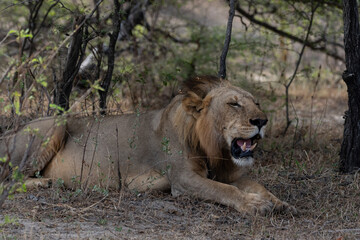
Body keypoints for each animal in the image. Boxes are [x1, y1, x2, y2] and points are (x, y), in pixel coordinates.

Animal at [0, 76, 296, 215]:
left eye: (256, 102)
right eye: (233, 104)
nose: (262, 120)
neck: (213, 149)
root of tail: (10, 133)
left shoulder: (226, 172)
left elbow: (256, 185)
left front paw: (278, 202)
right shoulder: (183, 180)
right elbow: (224, 190)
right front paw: (255, 205)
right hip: (55, 124)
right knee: (9, 179)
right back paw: (44, 182)